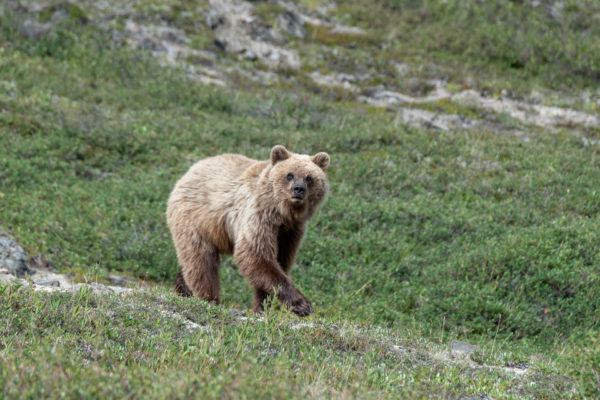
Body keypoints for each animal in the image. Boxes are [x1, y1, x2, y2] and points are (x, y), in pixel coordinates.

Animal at [166, 145, 330, 318]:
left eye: (309, 177)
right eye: (289, 175)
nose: (298, 189)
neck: (283, 214)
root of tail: (189, 171)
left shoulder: (291, 232)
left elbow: (279, 260)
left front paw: (261, 307)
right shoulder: (260, 216)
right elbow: (255, 254)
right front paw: (302, 305)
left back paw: (182, 289)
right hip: (196, 219)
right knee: (202, 261)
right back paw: (209, 299)